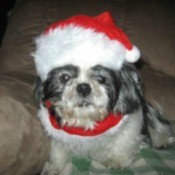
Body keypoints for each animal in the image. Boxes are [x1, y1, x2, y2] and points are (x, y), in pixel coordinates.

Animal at [32, 11, 174, 174]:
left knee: (160, 125)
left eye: (101, 78)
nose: (83, 87)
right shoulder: (59, 137)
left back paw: (161, 140)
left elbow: (123, 142)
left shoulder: (131, 123)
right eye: (64, 78)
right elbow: (58, 151)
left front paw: (117, 159)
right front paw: (54, 167)